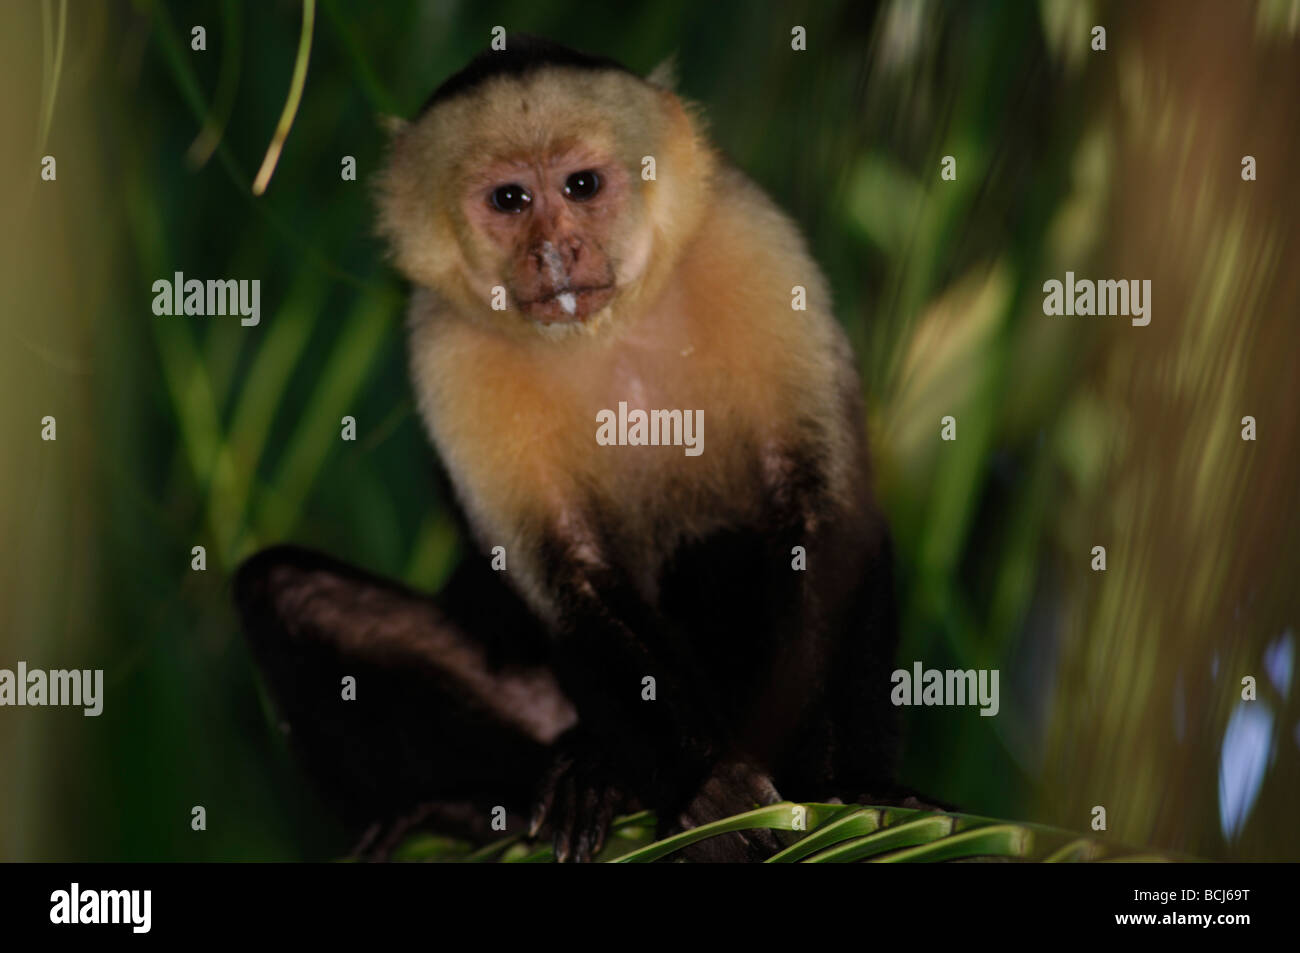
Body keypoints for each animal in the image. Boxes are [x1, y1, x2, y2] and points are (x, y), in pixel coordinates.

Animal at [236, 37, 904, 858]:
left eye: (582, 185)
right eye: (510, 200)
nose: (555, 251)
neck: (606, 329)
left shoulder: (751, 240)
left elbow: (824, 521)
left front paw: (848, 789)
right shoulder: (445, 345)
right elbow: (570, 574)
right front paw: (708, 790)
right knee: (283, 589)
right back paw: (499, 799)